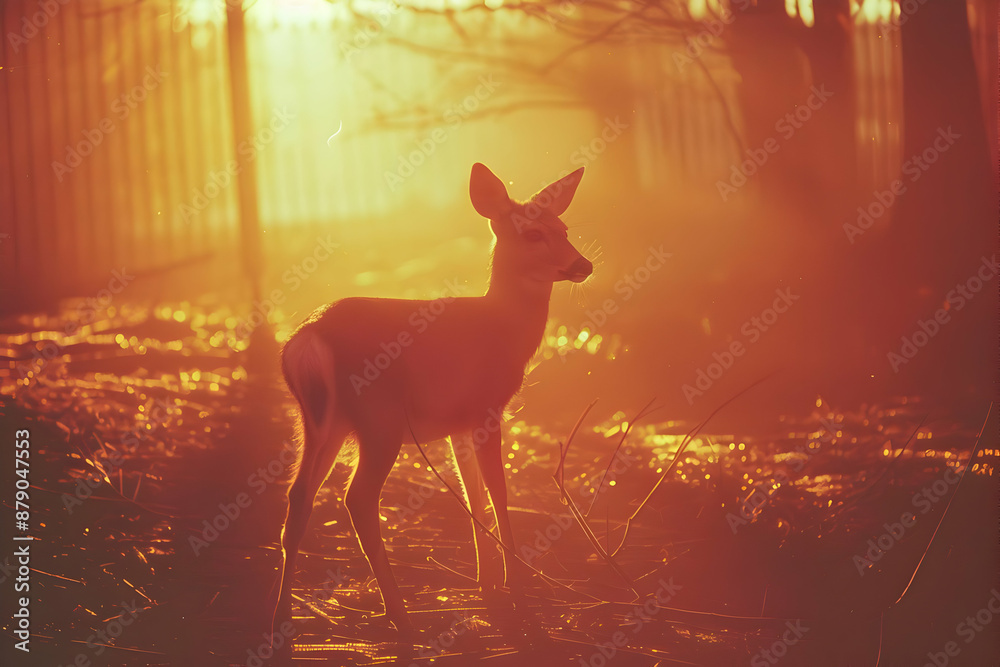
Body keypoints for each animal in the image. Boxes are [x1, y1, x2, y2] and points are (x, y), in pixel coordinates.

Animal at [274, 164, 592, 636]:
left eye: (565, 228)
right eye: (533, 233)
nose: (582, 264)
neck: (503, 327)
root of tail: (308, 341)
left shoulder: (457, 425)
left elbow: (473, 495)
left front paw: (487, 584)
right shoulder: (486, 409)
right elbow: (498, 493)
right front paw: (517, 587)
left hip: (319, 424)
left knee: (298, 496)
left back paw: (282, 615)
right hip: (379, 422)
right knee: (358, 499)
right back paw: (400, 614)